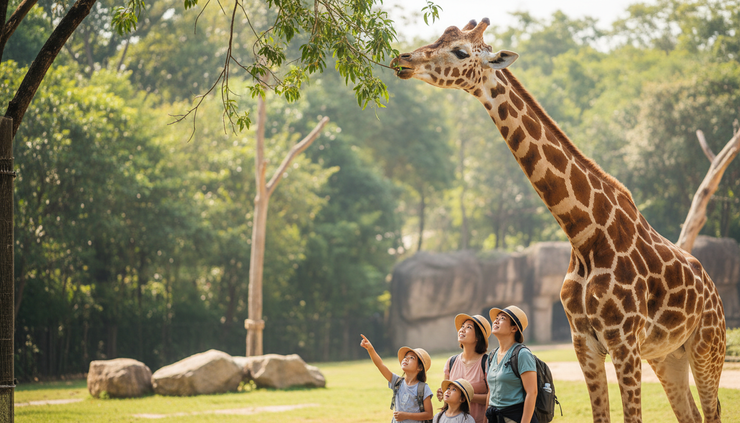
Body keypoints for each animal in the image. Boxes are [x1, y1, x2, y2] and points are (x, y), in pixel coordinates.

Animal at [390, 18, 726, 423]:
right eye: (441, 35)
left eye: (460, 51)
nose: (403, 59)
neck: (583, 233)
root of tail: (716, 295)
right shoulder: (584, 343)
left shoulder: (624, 343)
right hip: (667, 356)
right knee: (690, 412)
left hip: (707, 348)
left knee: (712, 409)